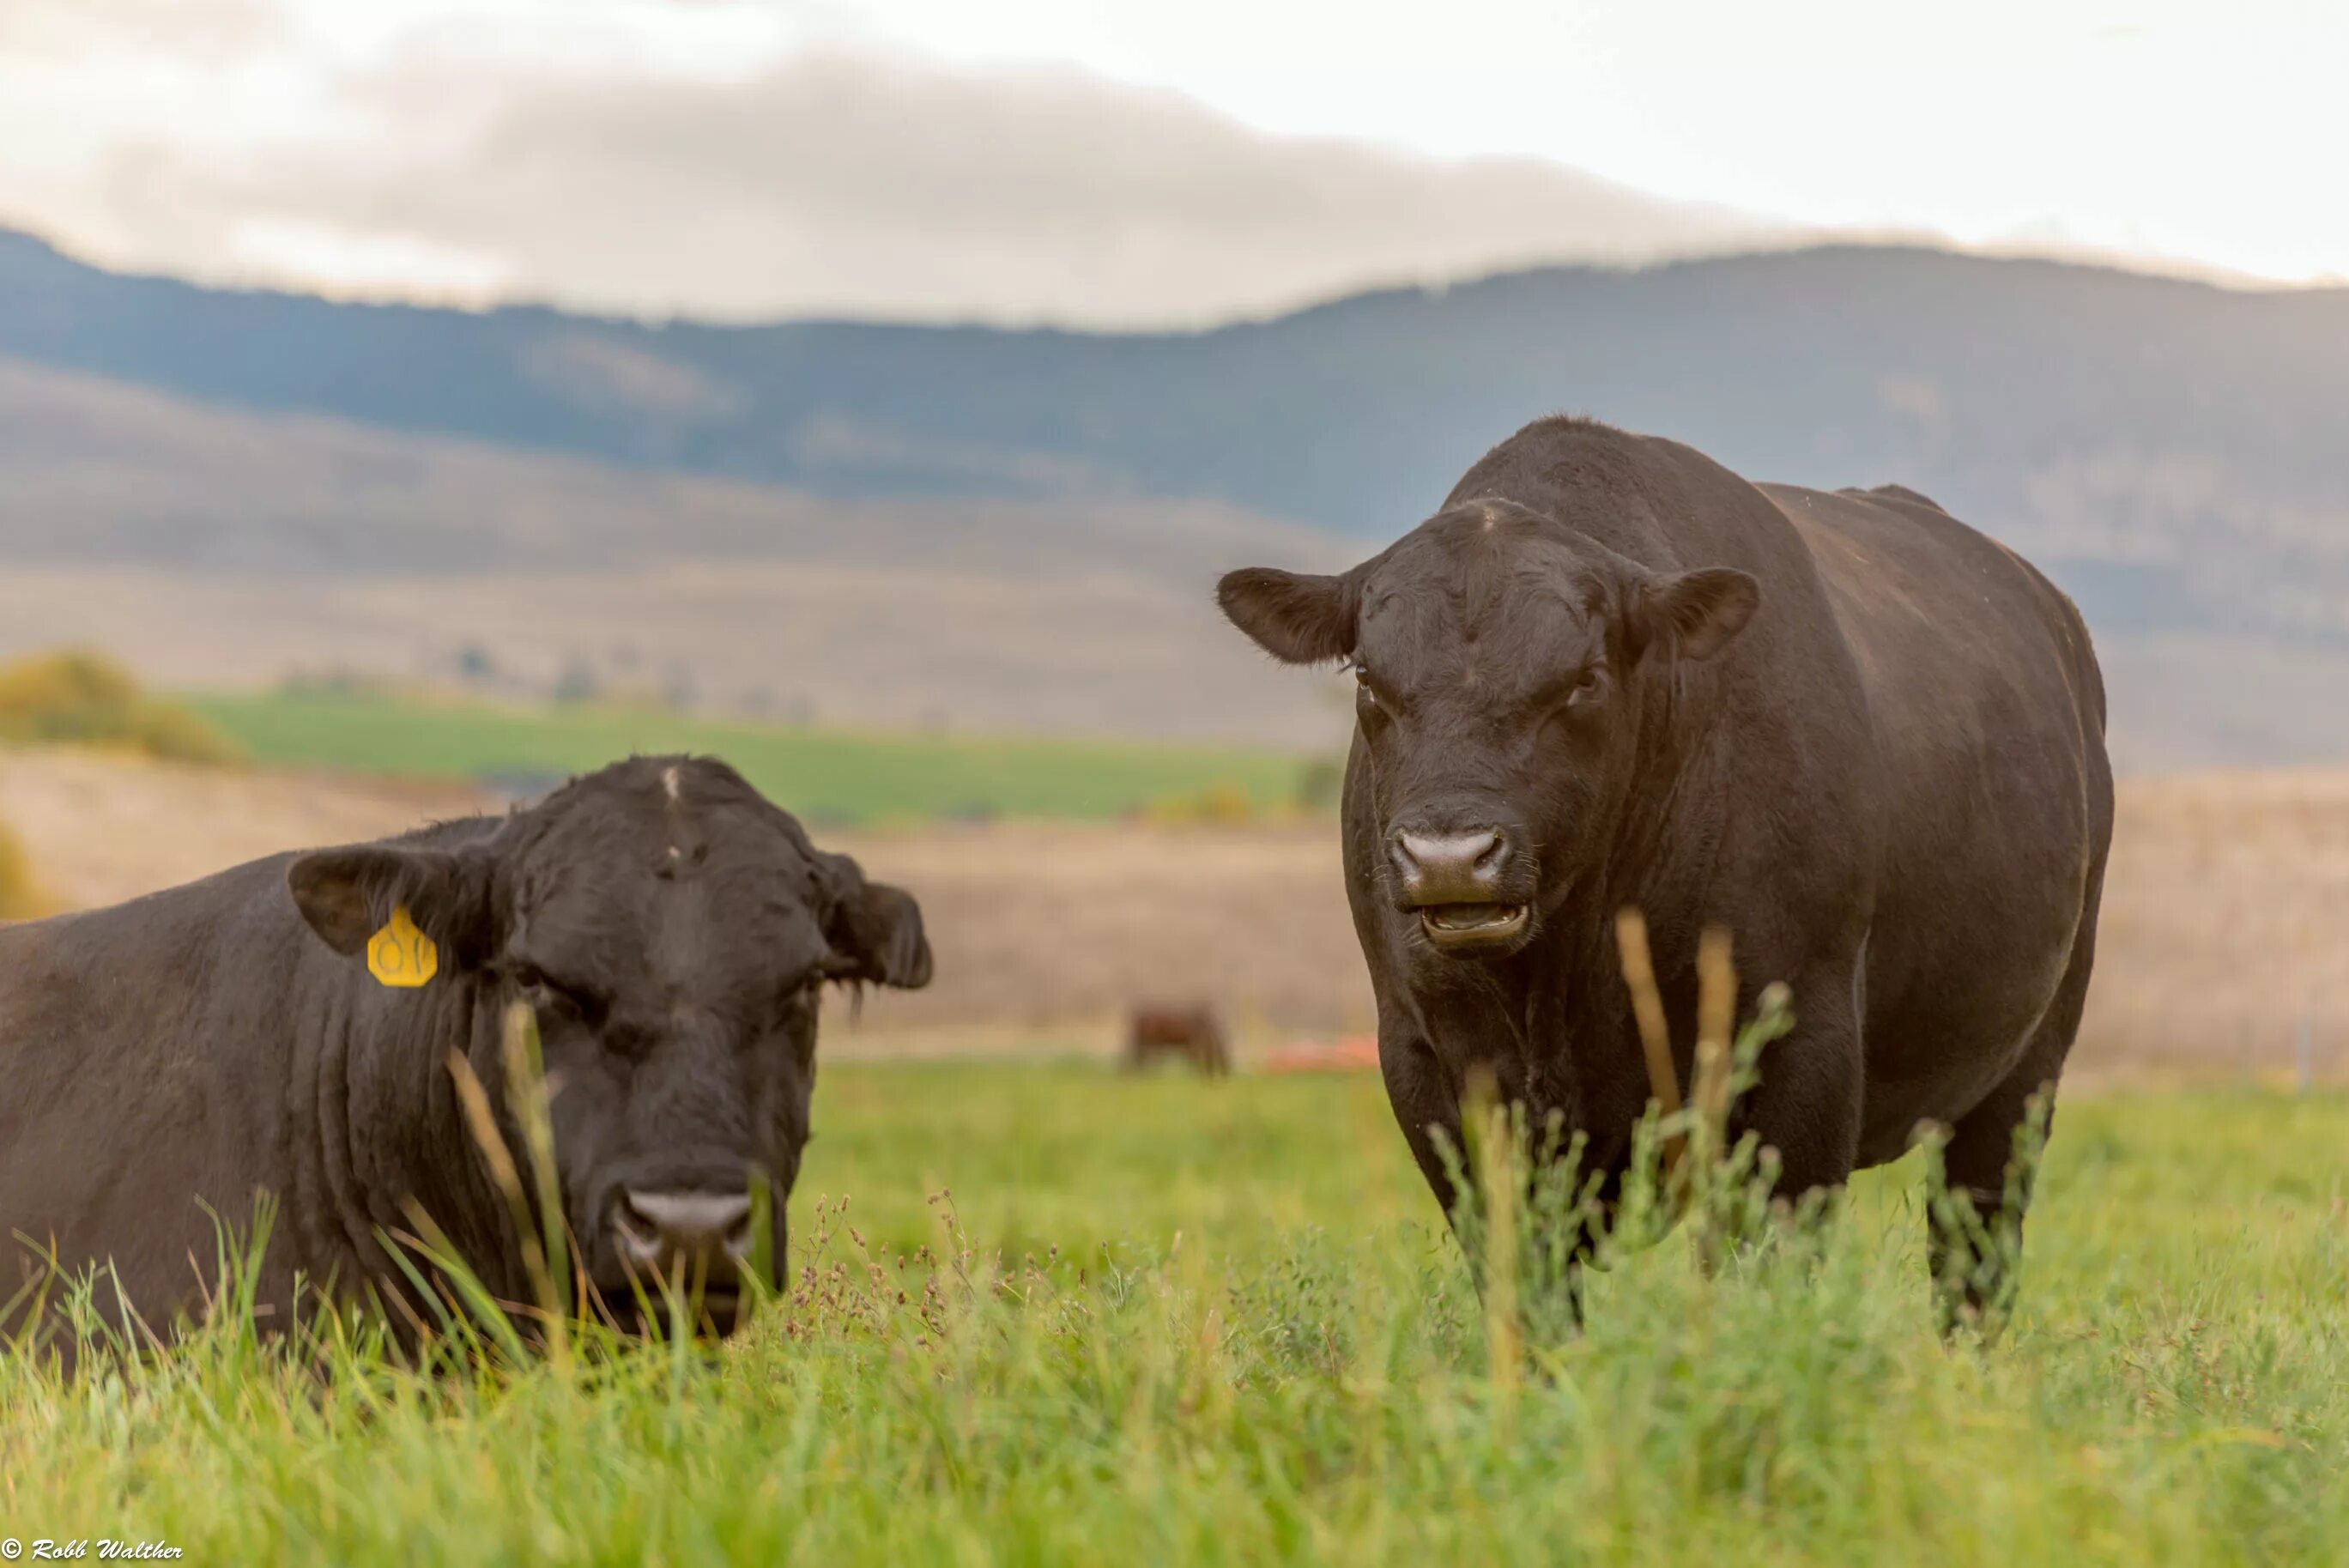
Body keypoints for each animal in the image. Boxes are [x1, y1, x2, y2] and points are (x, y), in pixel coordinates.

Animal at [1221, 415, 2123, 1323]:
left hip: (2026, 1067)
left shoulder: (1804, 1047)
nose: (1450, 856)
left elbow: (1767, 1271)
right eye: (1369, 678)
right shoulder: (1428, 1061)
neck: (1566, 979)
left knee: (1973, 1263)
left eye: (1583, 680)